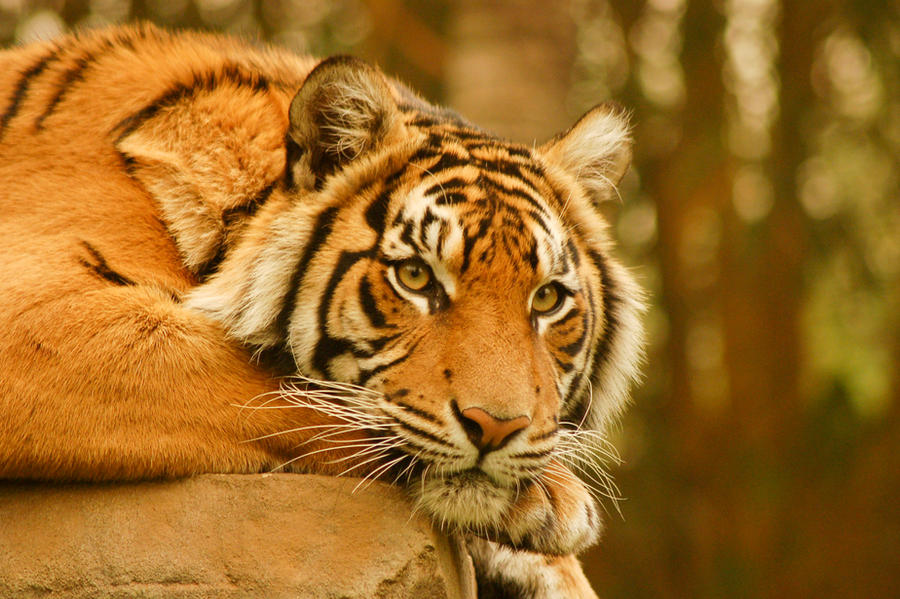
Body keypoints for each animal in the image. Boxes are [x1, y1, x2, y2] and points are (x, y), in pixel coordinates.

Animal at [0, 24, 644, 599]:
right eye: (415, 276)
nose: (497, 428)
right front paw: (554, 496)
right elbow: (282, 390)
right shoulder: (35, 313)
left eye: (547, 298)